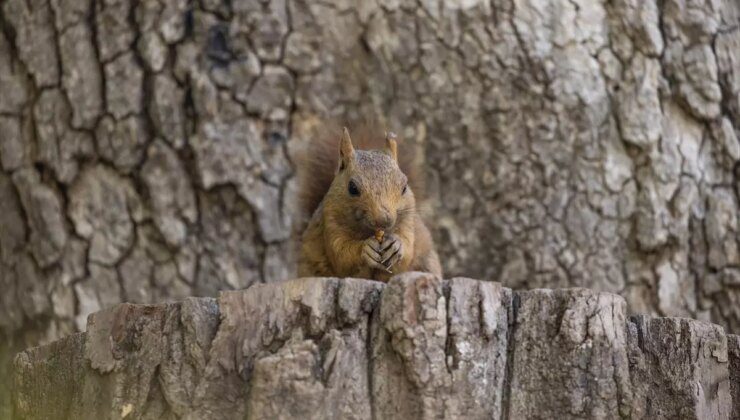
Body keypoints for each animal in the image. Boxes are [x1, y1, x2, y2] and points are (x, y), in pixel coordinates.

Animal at [294, 124, 442, 282]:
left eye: (404, 187)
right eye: (352, 188)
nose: (384, 220)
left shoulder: (408, 223)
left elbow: (407, 251)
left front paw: (396, 246)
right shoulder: (330, 223)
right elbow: (341, 255)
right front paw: (365, 249)